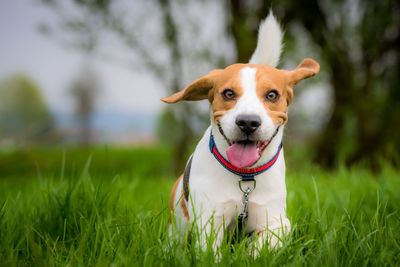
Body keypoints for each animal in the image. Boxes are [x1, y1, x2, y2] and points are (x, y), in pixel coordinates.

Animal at [161, 12, 320, 255]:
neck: (244, 177)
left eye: (272, 95)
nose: (247, 122)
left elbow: (268, 239)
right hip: (176, 231)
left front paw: (250, 254)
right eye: (228, 93)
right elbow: (210, 252)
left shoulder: (276, 220)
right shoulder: (209, 222)